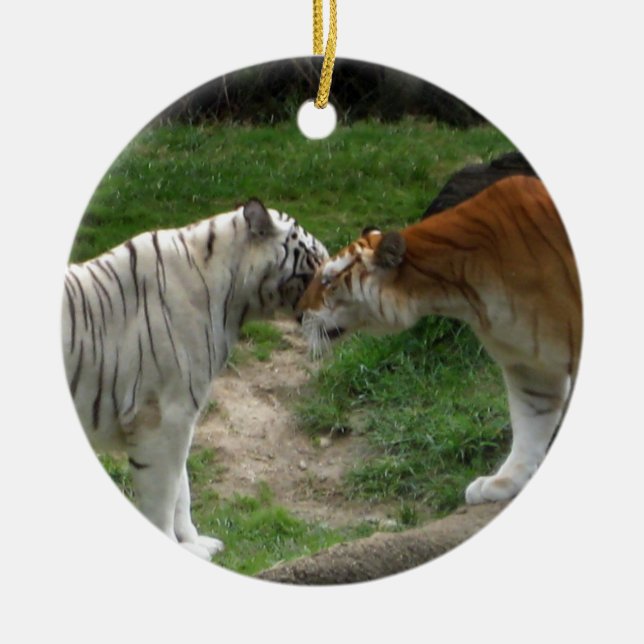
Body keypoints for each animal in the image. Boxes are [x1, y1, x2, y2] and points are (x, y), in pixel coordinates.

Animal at [62, 199, 328, 560]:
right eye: (316, 263)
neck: (233, 301)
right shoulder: (162, 419)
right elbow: (164, 494)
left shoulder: (180, 418)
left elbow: (181, 488)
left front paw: (194, 542)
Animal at [297, 175, 582, 505]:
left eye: (327, 281)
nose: (298, 314)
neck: (461, 290)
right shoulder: (528, 365)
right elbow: (529, 426)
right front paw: (503, 481)